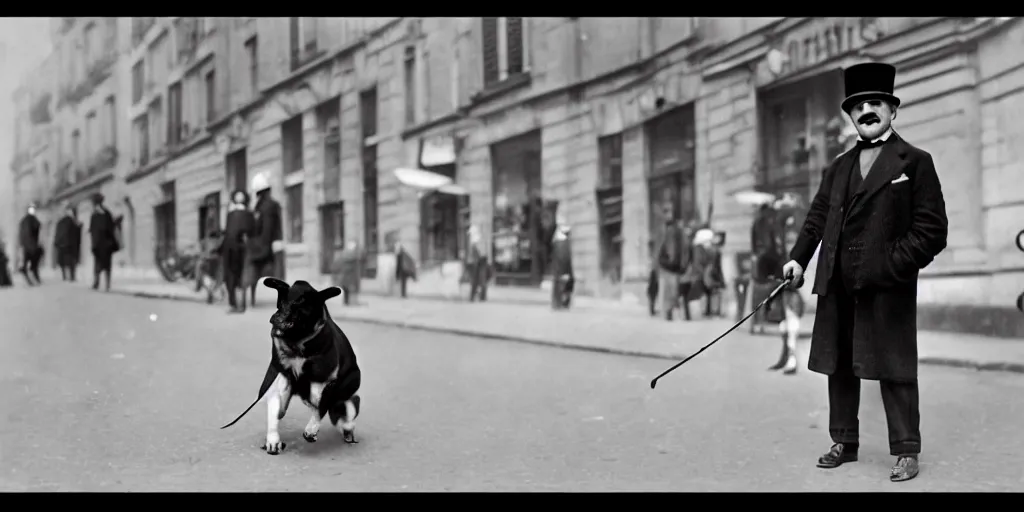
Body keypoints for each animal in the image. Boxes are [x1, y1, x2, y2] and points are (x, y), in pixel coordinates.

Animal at [222, 278, 362, 454]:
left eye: (300, 302)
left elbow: (320, 408)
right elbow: (276, 413)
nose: (275, 318)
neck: (297, 344)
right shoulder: (279, 380)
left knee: (347, 407)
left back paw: (347, 429)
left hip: (343, 388)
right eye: (280, 303)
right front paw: (273, 440)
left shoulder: (327, 384)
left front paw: (311, 430)